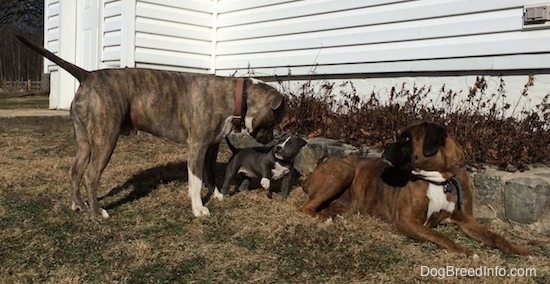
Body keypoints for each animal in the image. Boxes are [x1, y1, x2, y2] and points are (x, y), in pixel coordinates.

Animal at [17, 35, 284, 217]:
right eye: (275, 120)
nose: (271, 138)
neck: (237, 96)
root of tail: (88, 74)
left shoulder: (212, 146)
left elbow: (209, 175)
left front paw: (217, 194)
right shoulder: (197, 146)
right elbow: (196, 180)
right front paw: (198, 209)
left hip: (84, 141)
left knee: (75, 170)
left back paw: (78, 204)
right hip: (106, 138)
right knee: (91, 175)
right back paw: (97, 213)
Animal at [300, 121, 532, 256]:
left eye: (406, 139)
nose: (387, 145)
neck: (441, 179)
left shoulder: (466, 221)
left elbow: (495, 237)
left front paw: (520, 250)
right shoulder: (408, 221)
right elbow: (440, 236)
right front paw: (465, 251)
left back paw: (335, 219)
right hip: (343, 170)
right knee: (306, 209)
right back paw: (325, 219)